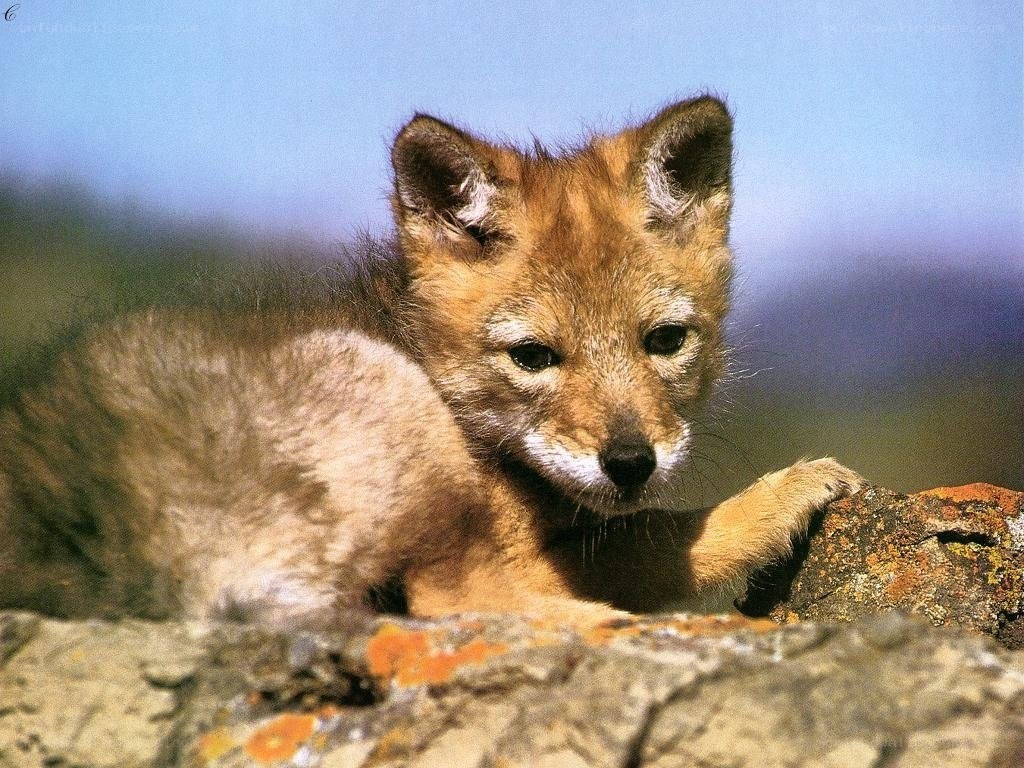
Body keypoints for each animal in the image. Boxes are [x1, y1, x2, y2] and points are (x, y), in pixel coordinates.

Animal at [0, 96, 862, 629]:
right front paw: (782, 495)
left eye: (666, 342)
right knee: (460, 602)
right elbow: (659, 538)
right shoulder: (533, 538)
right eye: (533, 356)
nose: (630, 463)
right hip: (386, 401)